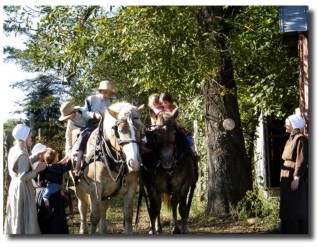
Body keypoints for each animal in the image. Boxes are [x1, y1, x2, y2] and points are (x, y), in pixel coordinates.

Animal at [74, 102, 144, 233]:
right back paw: (83, 229)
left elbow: (128, 214)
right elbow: (94, 217)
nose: (134, 163)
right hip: (79, 189)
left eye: (140, 128)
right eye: (120, 131)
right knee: (83, 208)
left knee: (103, 209)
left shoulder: (132, 186)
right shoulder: (95, 188)